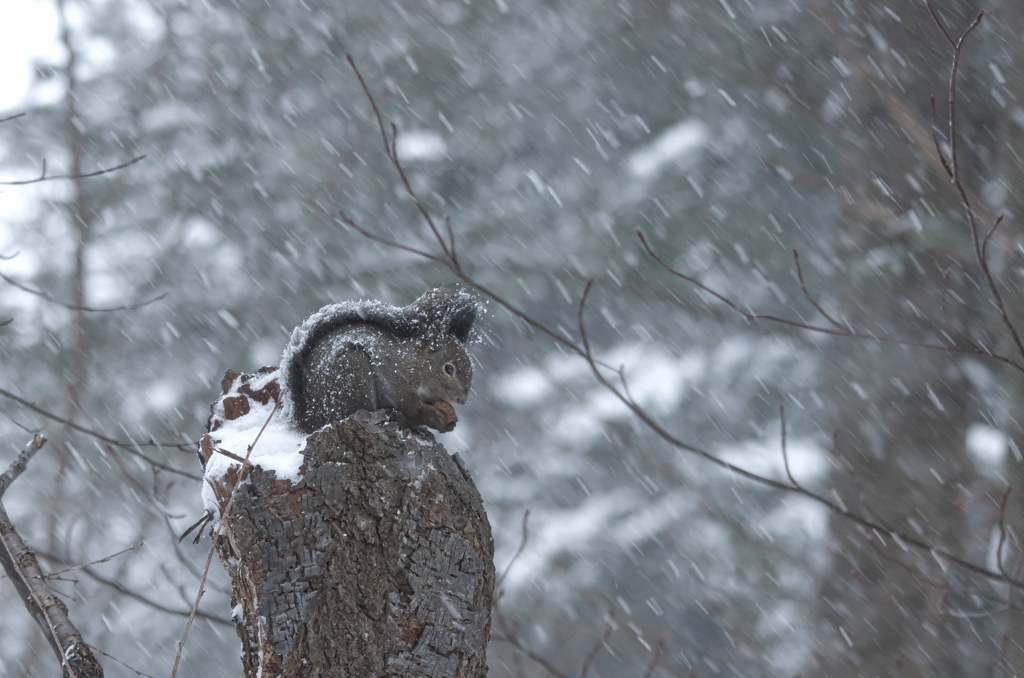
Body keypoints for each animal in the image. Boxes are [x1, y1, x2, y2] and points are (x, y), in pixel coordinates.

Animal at [280, 286, 479, 436]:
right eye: (449, 369)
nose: (462, 400)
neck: (416, 365)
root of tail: (312, 418)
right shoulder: (393, 380)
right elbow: (408, 405)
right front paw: (433, 417)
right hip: (353, 374)